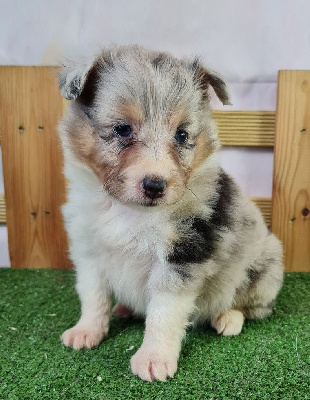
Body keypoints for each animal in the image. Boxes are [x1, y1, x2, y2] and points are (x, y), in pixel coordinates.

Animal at [57, 43, 284, 382]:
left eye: (181, 135)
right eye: (122, 129)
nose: (155, 185)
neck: (130, 211)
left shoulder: (182, 254)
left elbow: (163, 314)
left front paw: (154, 360)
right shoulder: (89, 253)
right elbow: (93, 297)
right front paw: (86, 332)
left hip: (262, 269)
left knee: (252, 306)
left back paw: (228, 318)